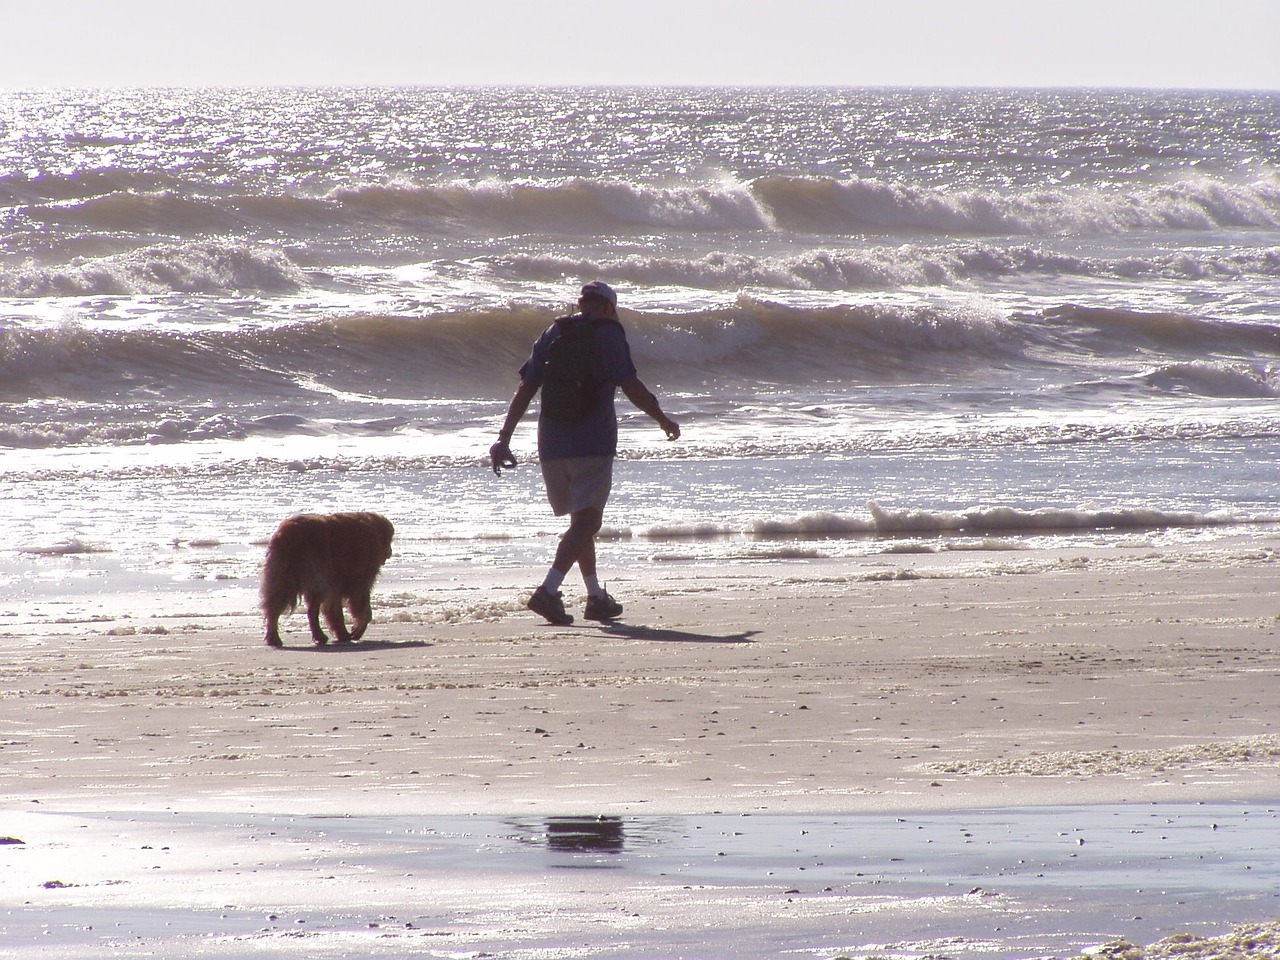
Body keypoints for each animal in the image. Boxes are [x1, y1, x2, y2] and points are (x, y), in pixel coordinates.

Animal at [259, 514, 394, 650]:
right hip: (314, 575)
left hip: (283, 578)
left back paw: (274, 637)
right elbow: (363, 608)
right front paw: (357, 628)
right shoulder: (361, 579)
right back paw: (319, 635)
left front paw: (342, 633)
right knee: (311, 611)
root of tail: (286, 533)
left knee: (274, 608)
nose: (390, 552)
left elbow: (335, 610)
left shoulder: (336, 587)